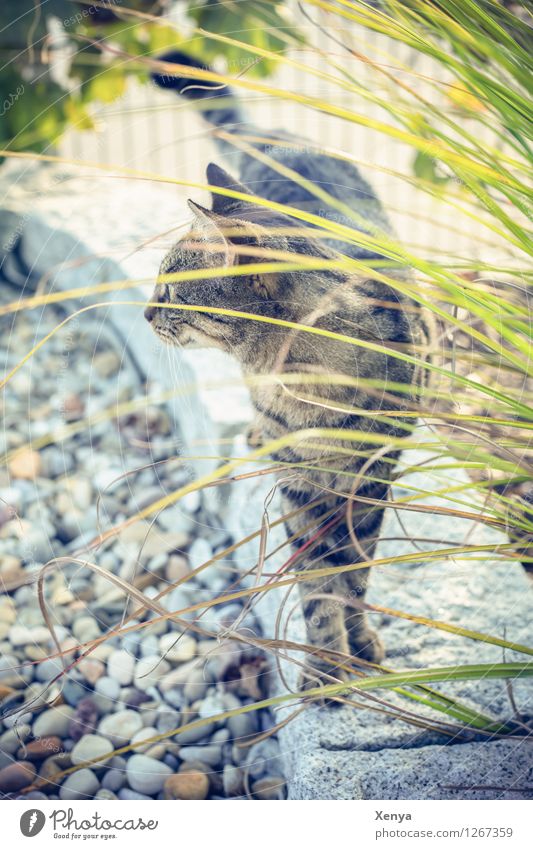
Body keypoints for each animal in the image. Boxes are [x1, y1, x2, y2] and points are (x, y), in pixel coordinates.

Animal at [147, 53, 432, 688]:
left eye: (170, 289)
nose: (145, 312)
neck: (305, 384)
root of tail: (274, 135)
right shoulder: (301, 485)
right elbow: (317, 585)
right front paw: (326, 667)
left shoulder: (368, 479)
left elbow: (355, 572)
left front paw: (359, 643)